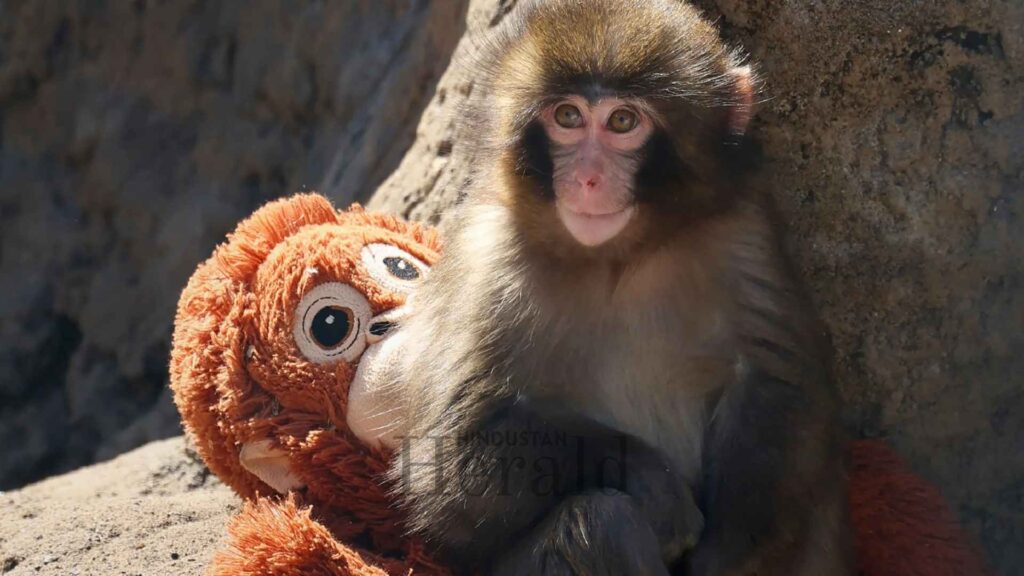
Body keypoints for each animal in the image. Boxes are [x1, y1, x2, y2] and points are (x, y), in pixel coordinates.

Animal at [386, 0, 853, 574]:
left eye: (623, 122)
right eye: (568, 117)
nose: (588, 178)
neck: (617, 258)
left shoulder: (743, 232)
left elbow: (777, 386)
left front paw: (725, 555)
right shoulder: (488, 261)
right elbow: (447, 462)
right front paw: (650, 480)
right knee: (600, 522)